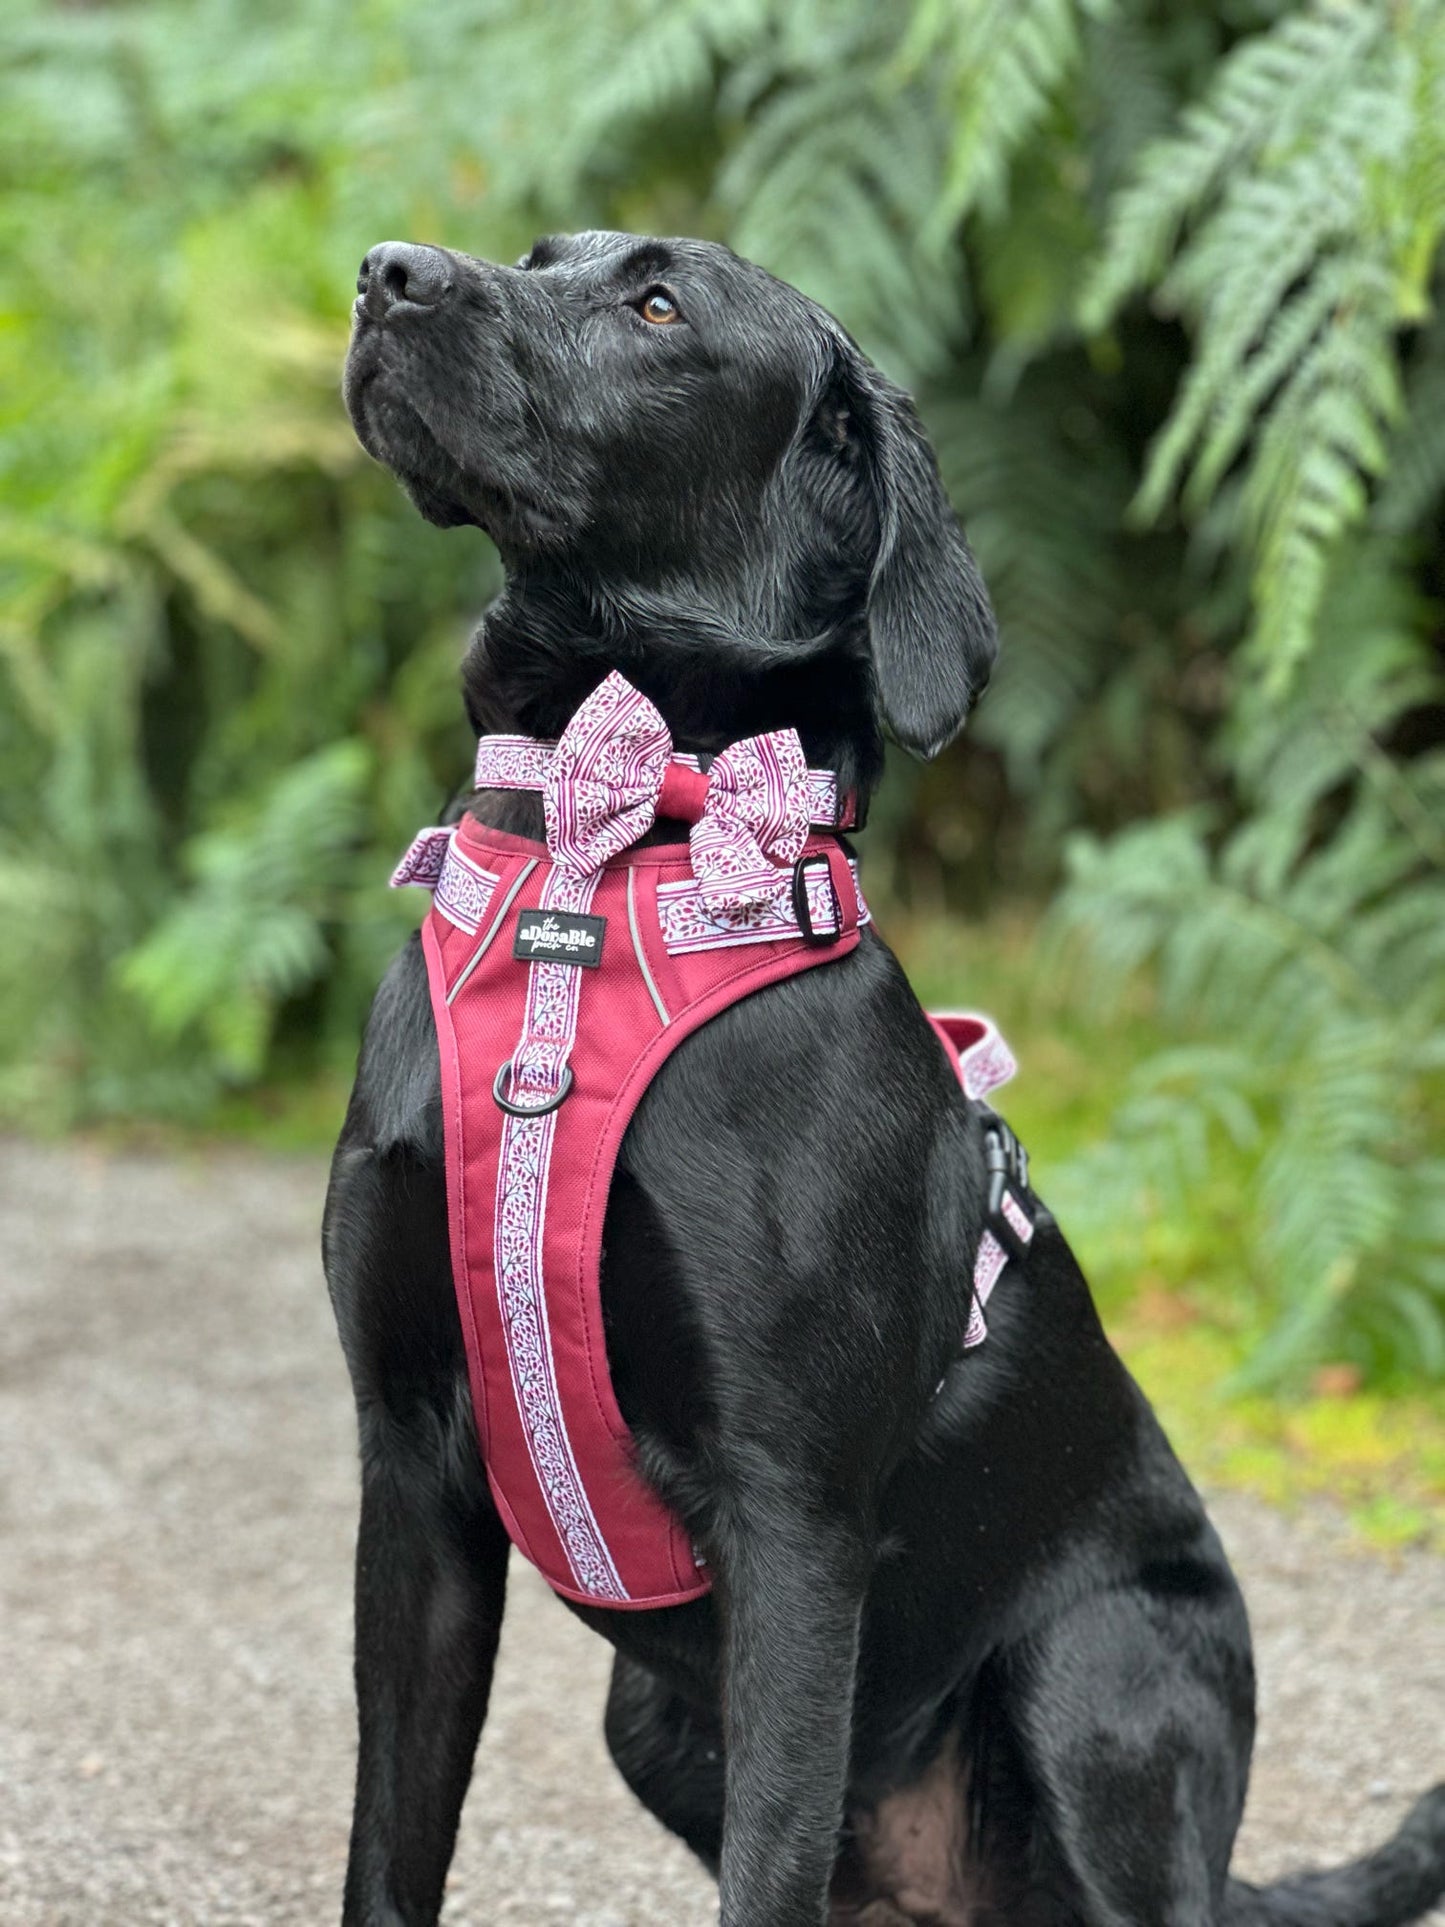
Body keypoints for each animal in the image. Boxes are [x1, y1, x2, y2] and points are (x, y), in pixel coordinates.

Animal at [331, 237, 1445, 1927]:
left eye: (657, 306)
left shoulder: (792, 1516)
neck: (599, 869)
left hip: (1100, 1676)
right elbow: (388, 1851)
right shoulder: (411, 1473)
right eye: (535, 260)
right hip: (654, 1715)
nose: (385, 273)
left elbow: (768, 1862)